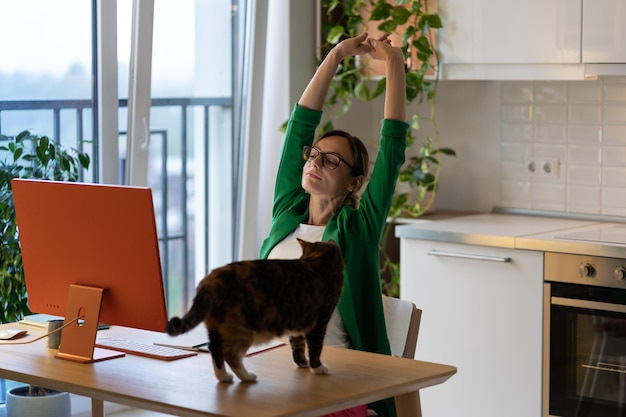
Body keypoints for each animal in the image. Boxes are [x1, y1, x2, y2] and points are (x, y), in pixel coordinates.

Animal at [163, 239, 344, 382]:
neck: (317, 261)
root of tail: (210, 280)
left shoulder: (299, 319)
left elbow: (297, 344)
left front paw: (303, 363)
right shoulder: (320, 321)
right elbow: (315, 347)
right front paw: (317, 367)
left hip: (216, 327)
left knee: (214, 348)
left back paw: (224, 377)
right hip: (243, 328)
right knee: (229, 353)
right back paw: (247, 377)